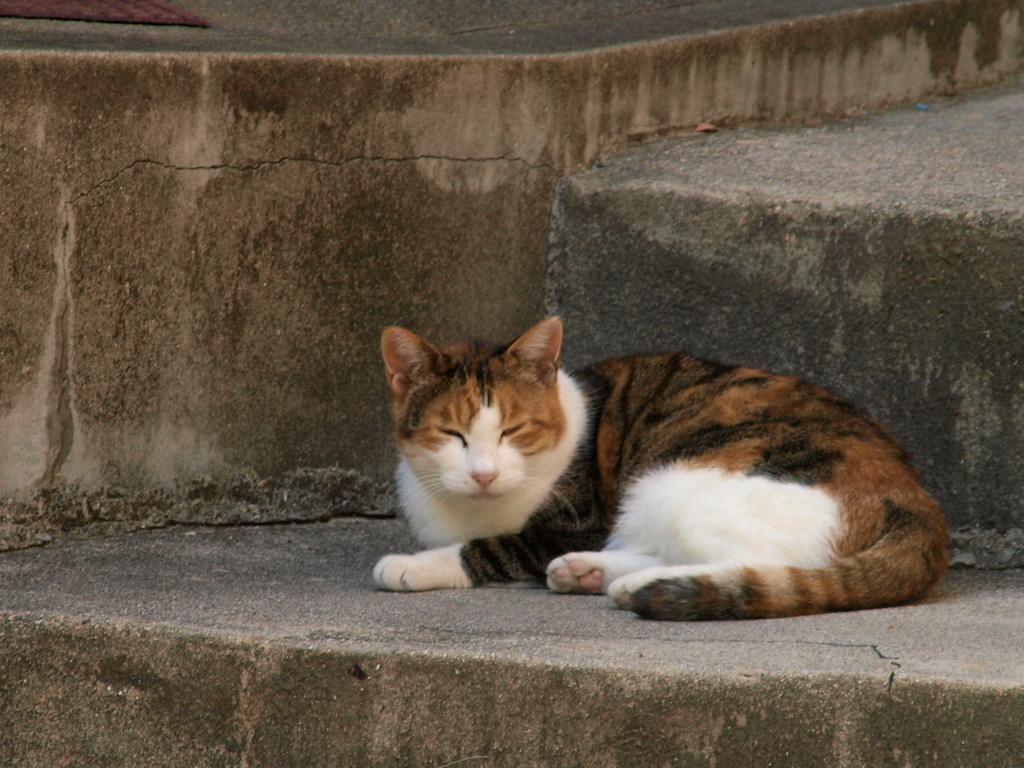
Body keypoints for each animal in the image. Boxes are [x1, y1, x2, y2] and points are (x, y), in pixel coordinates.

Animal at [372, 315, 946, 622]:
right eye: (452, 434)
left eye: (513, 430)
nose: (484, 474)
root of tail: (914, 498)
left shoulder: (578, 520)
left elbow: (494, 547)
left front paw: (414, 565)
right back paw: (594, 575)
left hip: (676, 483)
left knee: (762, 566)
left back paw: (649, 583)